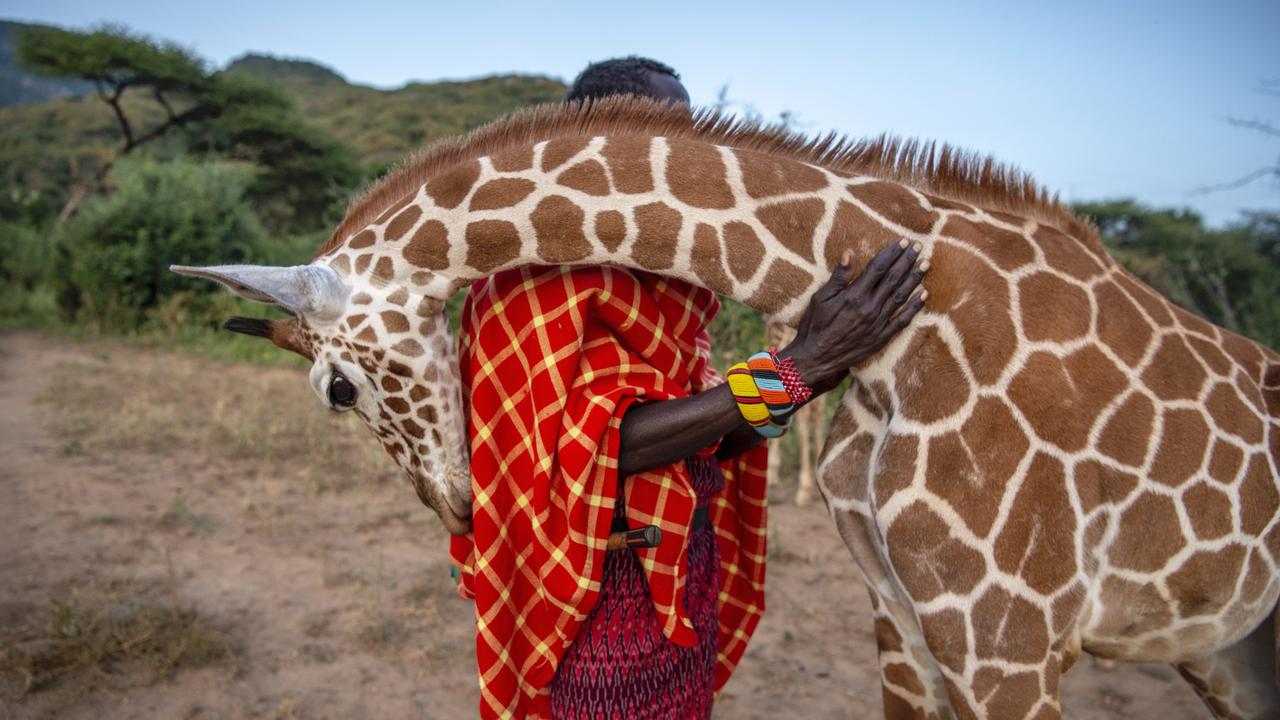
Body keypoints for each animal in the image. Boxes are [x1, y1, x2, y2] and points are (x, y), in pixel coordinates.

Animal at [172, 98, 1280, 712]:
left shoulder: (1009, 634)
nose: (456, 507)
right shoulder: (907, 620)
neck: (922, 322)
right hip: (1228, 650)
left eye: (336, 388)